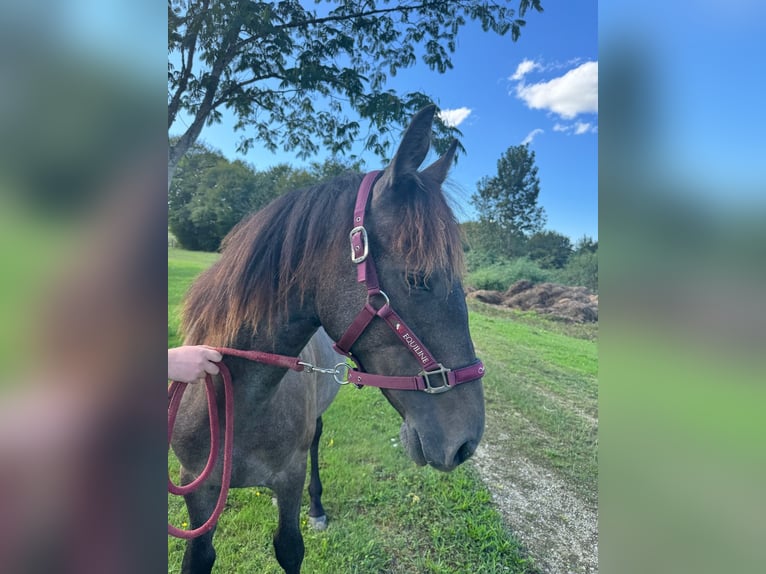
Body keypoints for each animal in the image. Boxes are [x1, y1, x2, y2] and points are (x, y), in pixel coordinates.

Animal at [172, 106, 486, 572]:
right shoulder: (196, 488)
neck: (234, 402)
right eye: (419, 278)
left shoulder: (289, 477)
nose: (466, 443)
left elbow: (289, 545)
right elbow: (199, 556)